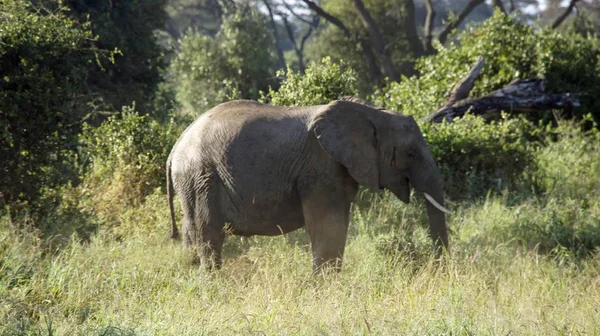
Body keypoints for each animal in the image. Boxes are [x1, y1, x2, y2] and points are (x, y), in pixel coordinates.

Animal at [165, 96, 450, 270]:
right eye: (410, 154)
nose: (439, 270)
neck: (373, 114)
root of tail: (174, 148)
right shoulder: (320, 167)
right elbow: (326, 225)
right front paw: (325, 289)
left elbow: (337, 225)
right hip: (201, 177)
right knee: (208, 234)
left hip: (193, 183)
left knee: (193, 233)